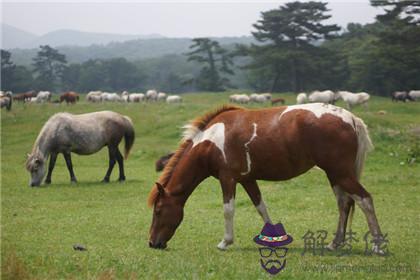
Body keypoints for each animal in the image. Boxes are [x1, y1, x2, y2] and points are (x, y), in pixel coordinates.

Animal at [148, 103, 388, 254]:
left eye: (158, 211)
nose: (152, 243)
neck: (211, 141)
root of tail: (350, 118)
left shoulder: (228, 179)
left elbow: (228, 210)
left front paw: (226, 242)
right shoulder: (247, 180)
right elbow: (261, 207)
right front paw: (274, 239)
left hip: (340, 173)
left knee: (365, 200)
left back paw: (377, 246)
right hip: (335, 175)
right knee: (344, 203)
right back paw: (335, 244)